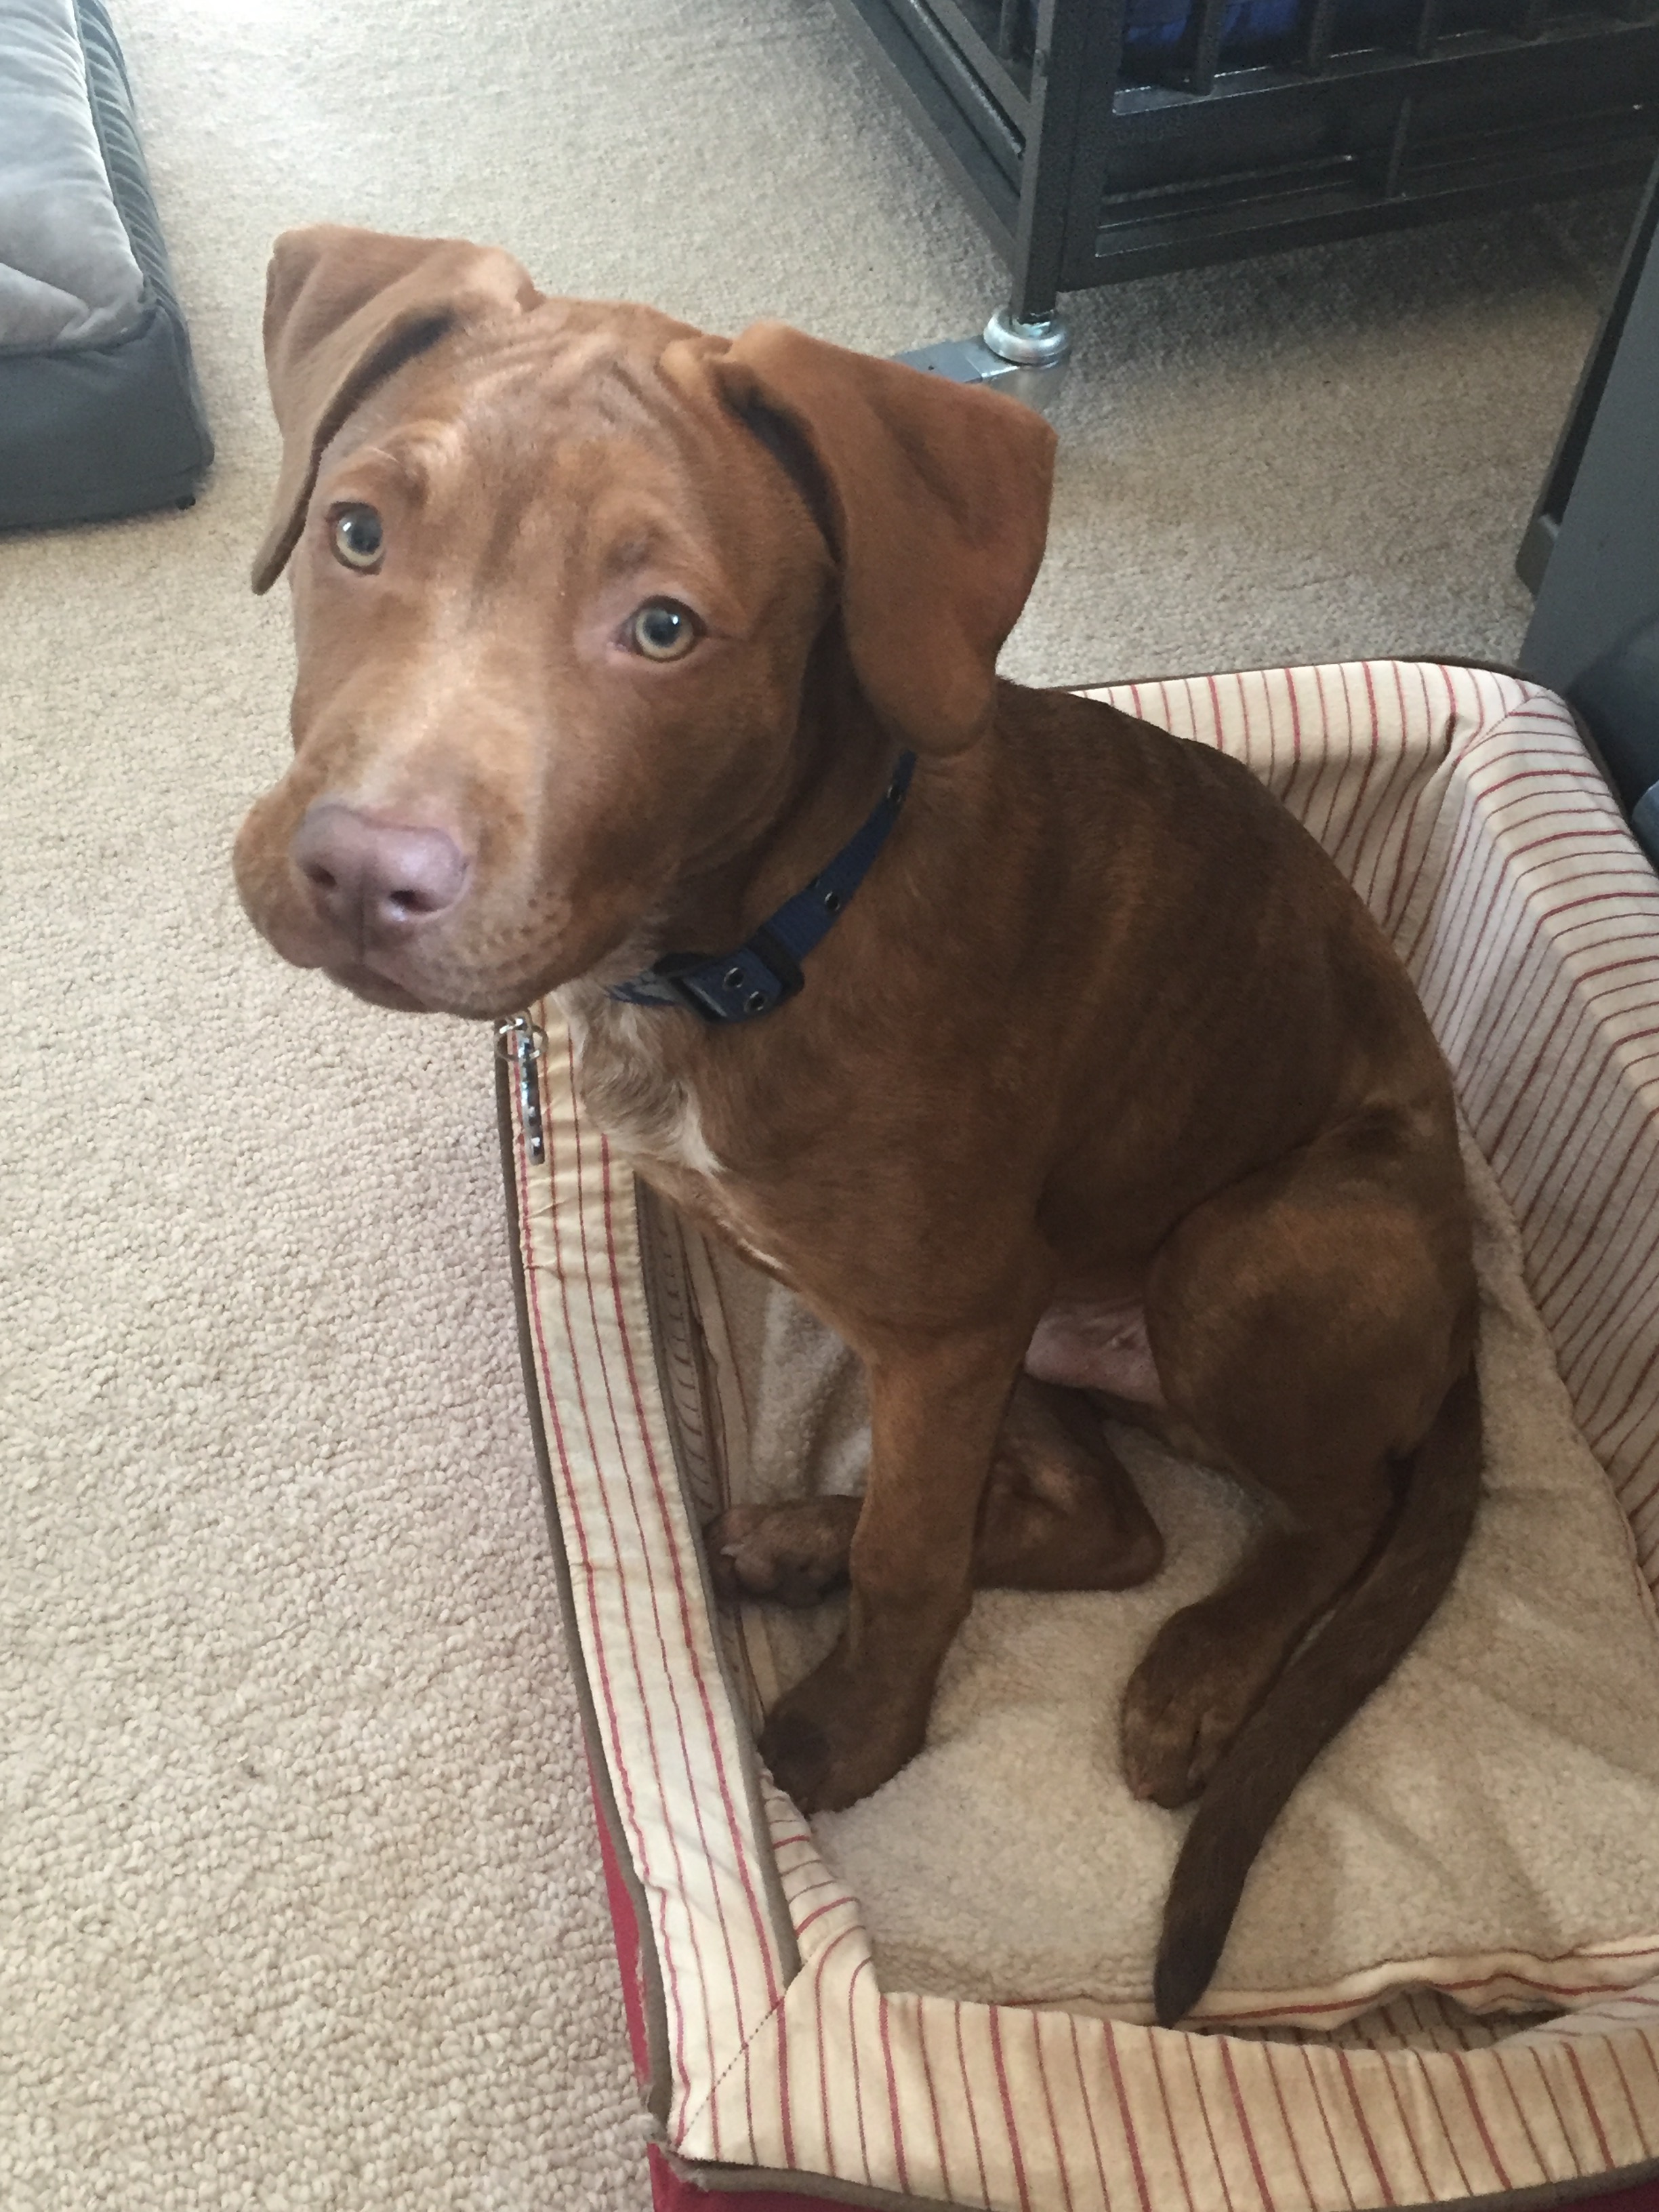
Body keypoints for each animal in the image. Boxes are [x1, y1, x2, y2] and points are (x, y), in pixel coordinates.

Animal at [231, 228, 1477, 2026]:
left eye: (664, 628)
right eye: (357, 532)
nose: (355, 874)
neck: (746, 944)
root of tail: (1466, 1303)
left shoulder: (946, 1331)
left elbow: (915, 1561)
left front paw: (854, 1738)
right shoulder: (946, 1331)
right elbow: (926, 1530)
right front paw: (840, 1579)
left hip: (1254, 1254)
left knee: (1331, 1512)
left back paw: (1196, 1668)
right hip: (1054, 1328)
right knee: (1110, 1527)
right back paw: (793, 1539)